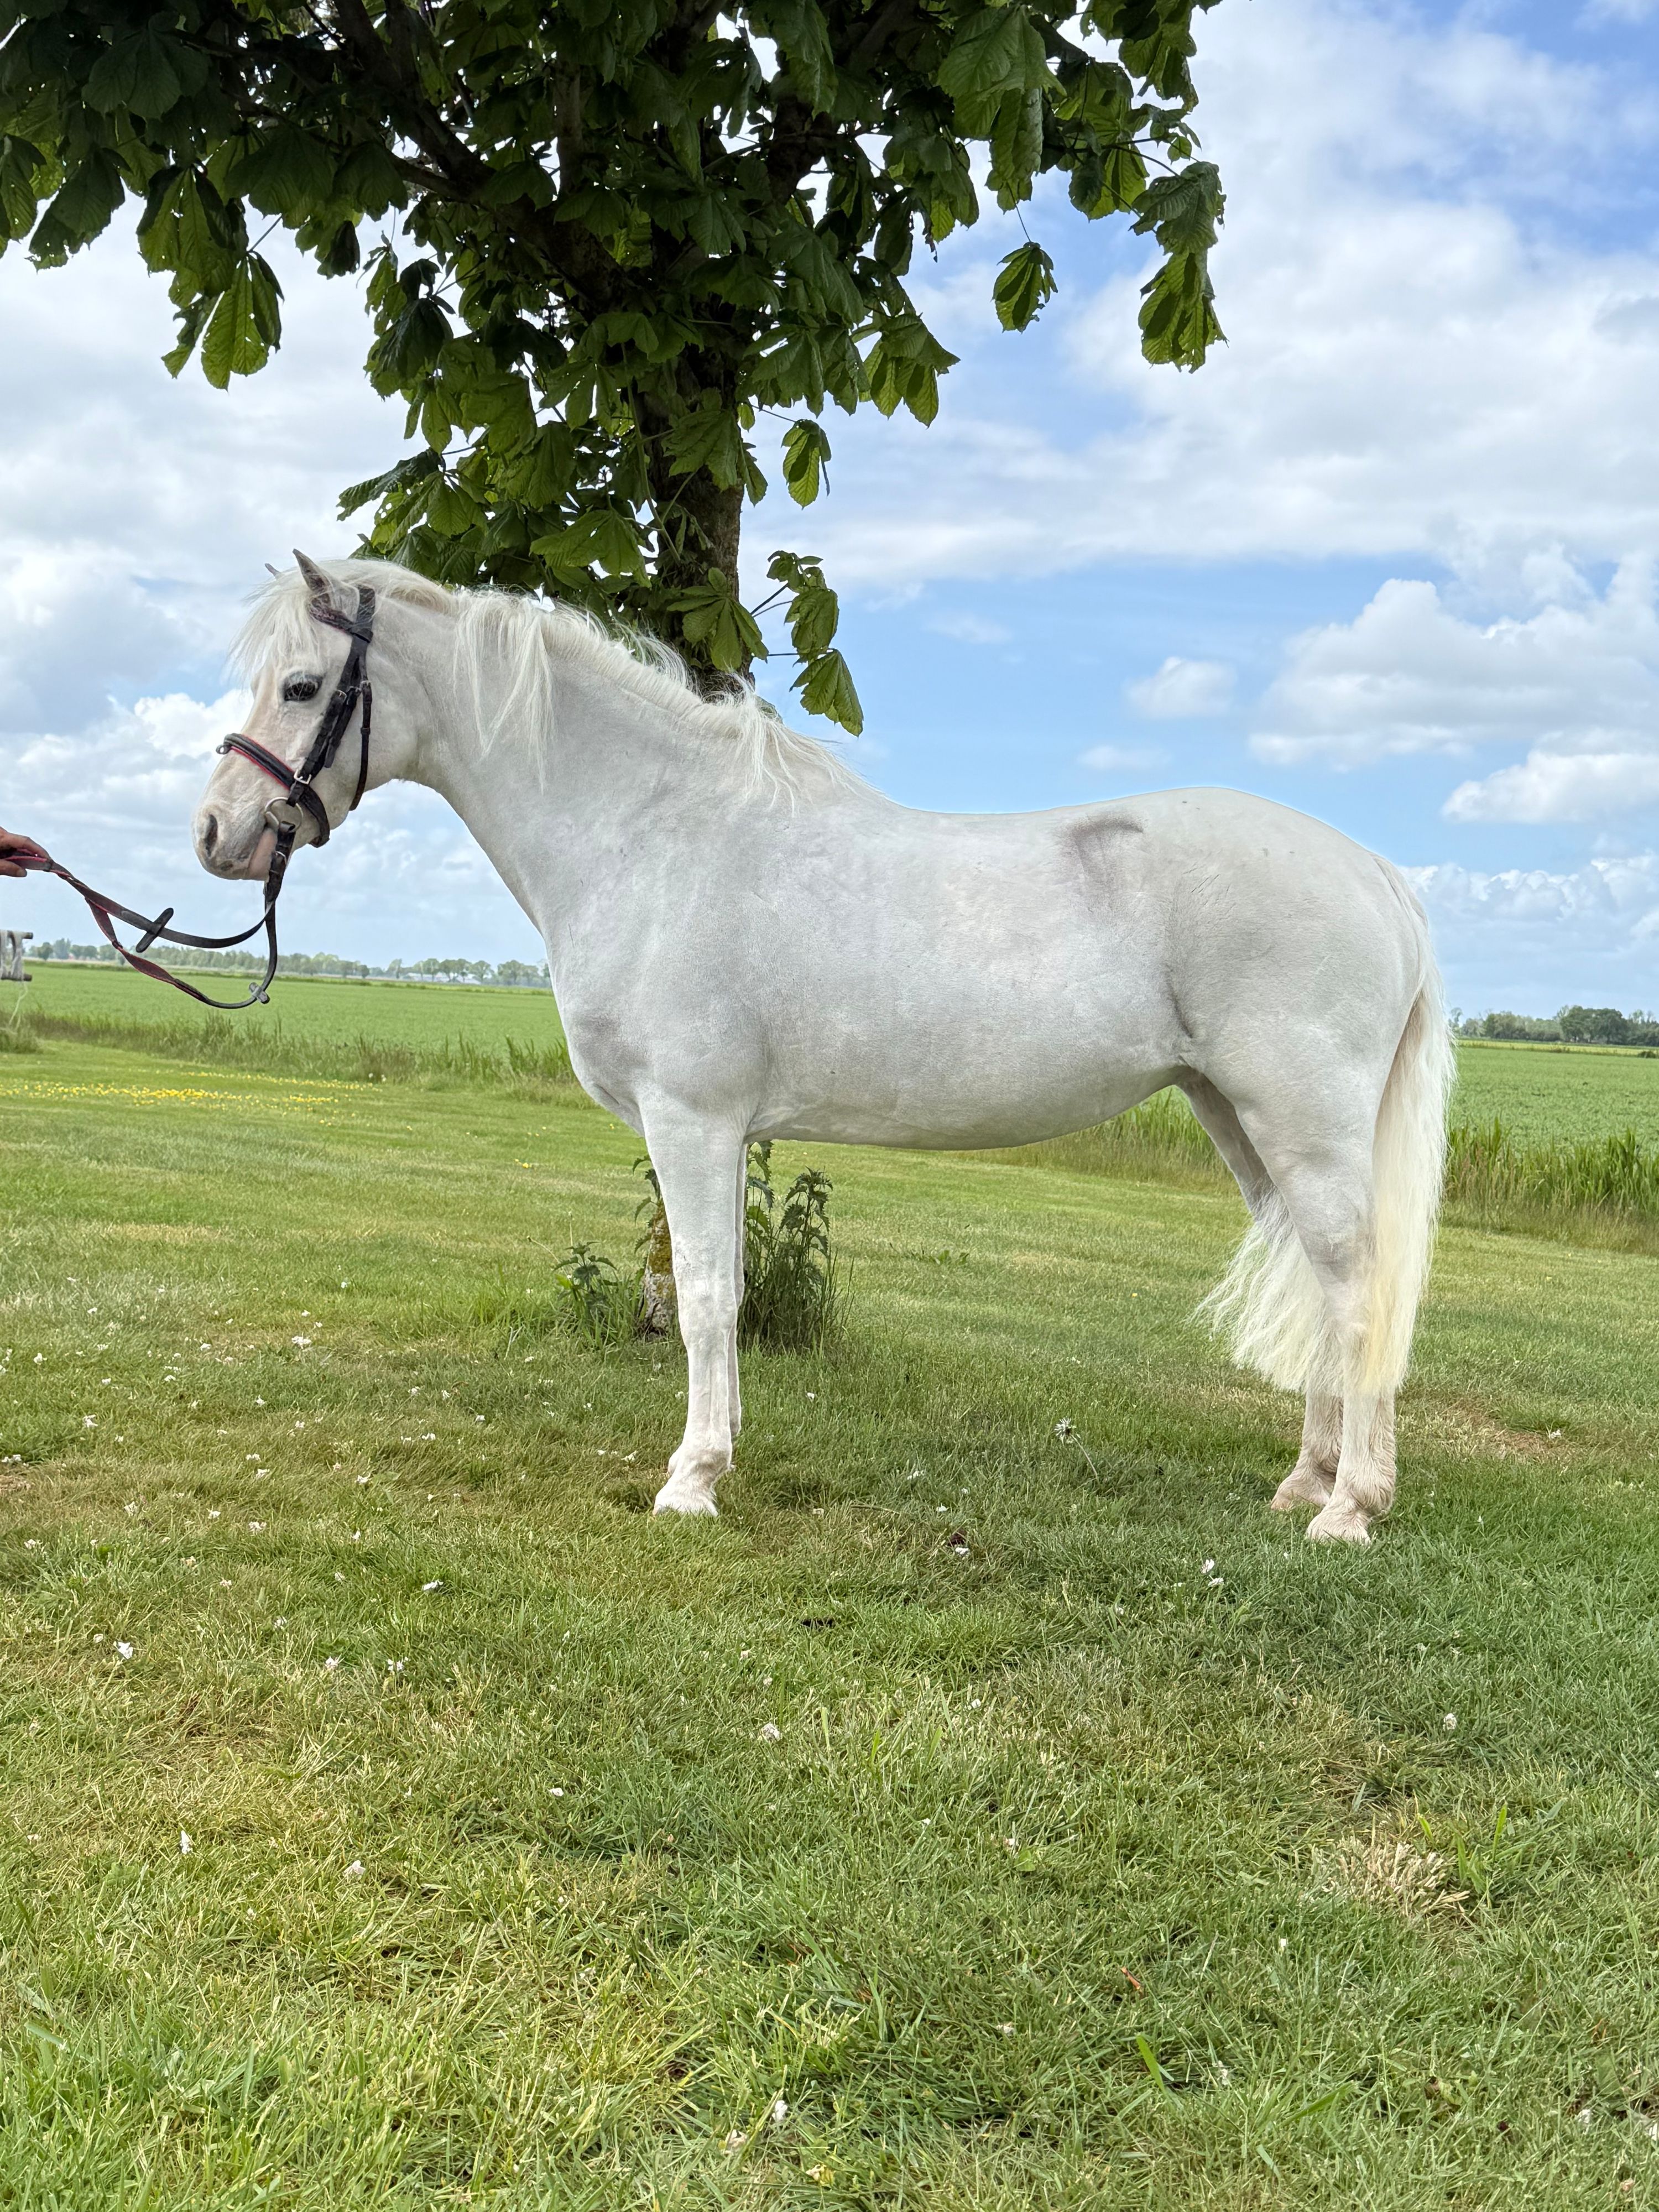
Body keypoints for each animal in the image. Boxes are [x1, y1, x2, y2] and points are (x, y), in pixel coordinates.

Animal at [193, 554, 1454, 1544]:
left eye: (302, 683)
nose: (217, 834)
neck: (655, 834)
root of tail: (1380, 876)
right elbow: (717, 1290)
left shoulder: (692, 1119)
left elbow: (706, 1293)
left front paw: (692, 1480)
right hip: (1237, 1118)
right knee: (1322, 1276)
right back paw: (1305, 1483)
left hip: (1301, 1120)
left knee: (1356, 1279)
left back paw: (1353, 1506)